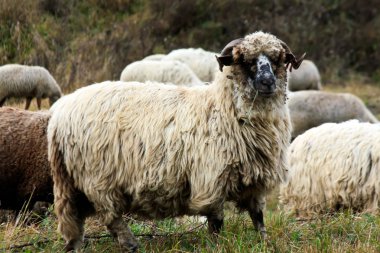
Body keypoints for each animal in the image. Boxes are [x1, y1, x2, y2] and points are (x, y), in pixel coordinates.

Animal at [47, 31, 304, 251]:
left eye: (277, 59)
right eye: (246, 60)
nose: (268, 82)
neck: (222, 107)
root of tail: (59, 115)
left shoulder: (255, 182)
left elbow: (258, 218)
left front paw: (265, 243)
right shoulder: (211, 178)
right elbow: (216, 222)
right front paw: (216, 246)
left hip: (70, 183)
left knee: (74, 222)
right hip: (98, 177)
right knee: (110, 216)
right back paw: (131, 243)